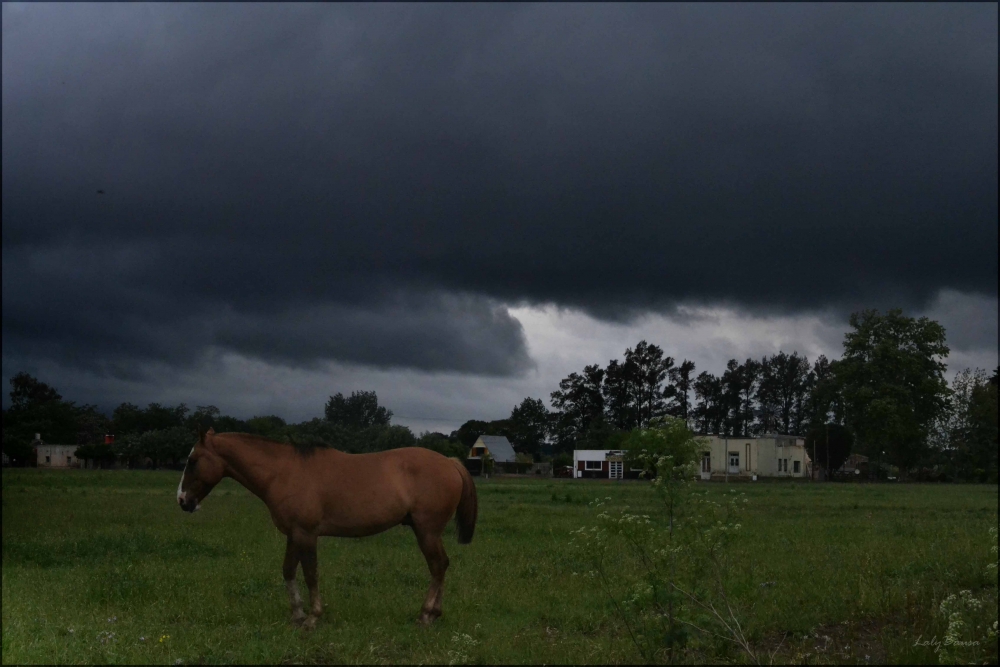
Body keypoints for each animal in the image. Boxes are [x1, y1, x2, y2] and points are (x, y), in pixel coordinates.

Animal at [176, 430, 476, 628]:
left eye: (193, 461)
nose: (182, 500)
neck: (283, 472)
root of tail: (450, 462)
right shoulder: (294, 535)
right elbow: (288, 570)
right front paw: (297, 614)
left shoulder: (307, 534)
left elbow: (311, 574)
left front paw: (312, 617)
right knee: (442, 566)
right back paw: (435, 613)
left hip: (427, 532)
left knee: (437, 566)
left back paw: (426, 614)